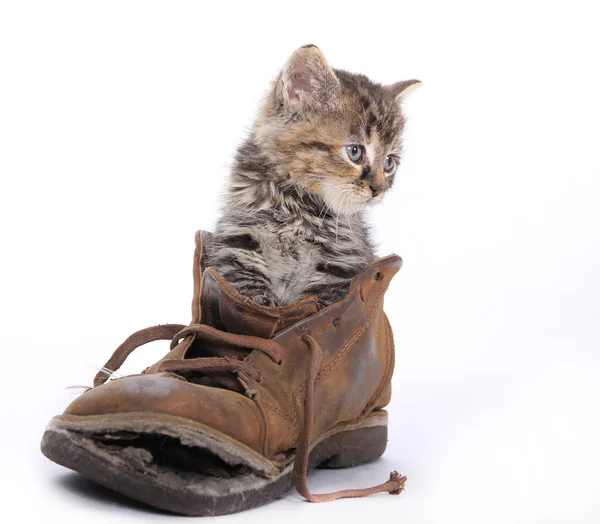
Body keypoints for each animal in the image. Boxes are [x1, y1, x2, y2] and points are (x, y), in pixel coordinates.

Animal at [204, 46, 420, 308]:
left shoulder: (342, 262)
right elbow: (247, 289)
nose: (379, 189)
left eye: (389, 163)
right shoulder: (237, 239)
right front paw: (260, 303)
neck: (295, 203)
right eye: (355, 152)